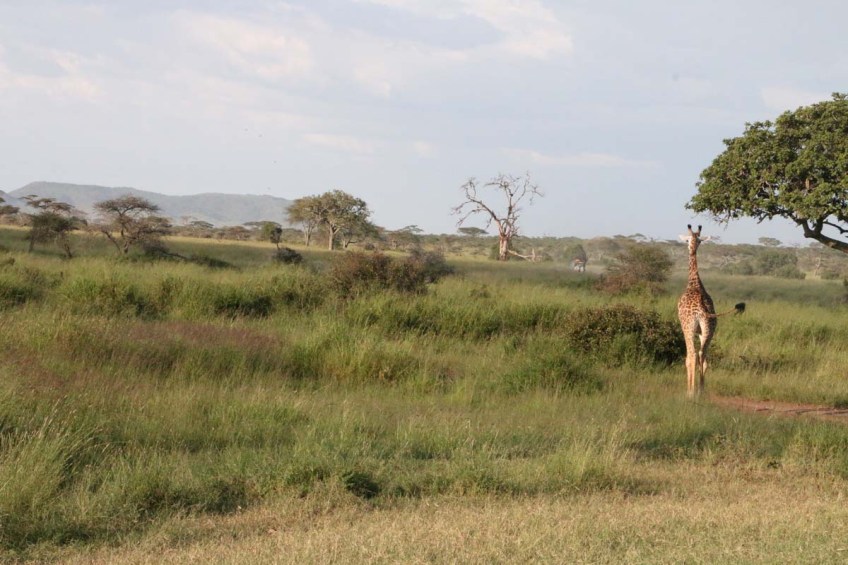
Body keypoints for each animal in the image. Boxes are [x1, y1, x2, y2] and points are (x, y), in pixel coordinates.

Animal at [678, 225, 744, 398]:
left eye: (687, 240)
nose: (689, 248)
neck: (694, 283)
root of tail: (701, 310)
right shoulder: (702, 332)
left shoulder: (685, 328)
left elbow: (688, 358)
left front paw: (689, 391)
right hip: (709, 329)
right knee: (703, 355)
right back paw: (701, 390)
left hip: (689, 328)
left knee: (692, 355)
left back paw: (691, 392)